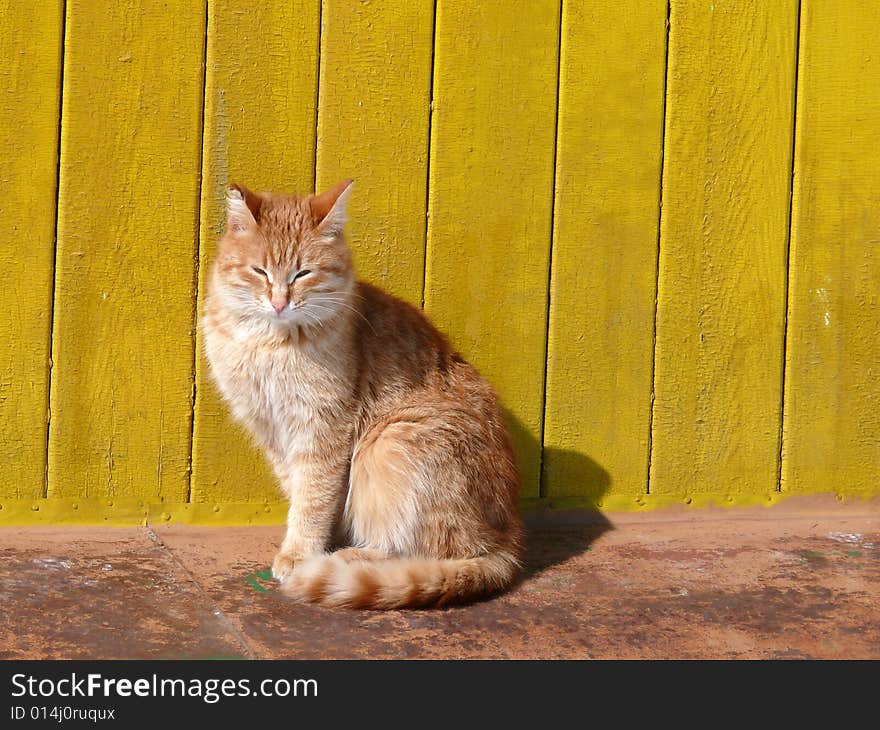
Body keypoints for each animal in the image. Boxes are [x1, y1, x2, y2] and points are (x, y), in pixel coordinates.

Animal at [201, 179, 524, 604]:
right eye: (259, 271)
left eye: (303, 273)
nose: (279, 302)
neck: (267, 342)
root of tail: (507, 541)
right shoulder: (271, 429)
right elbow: (299, 489)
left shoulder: (323, 428)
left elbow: (313, 497)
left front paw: (300, 553)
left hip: (389, 442)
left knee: (431, 551)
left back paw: (350, 559)